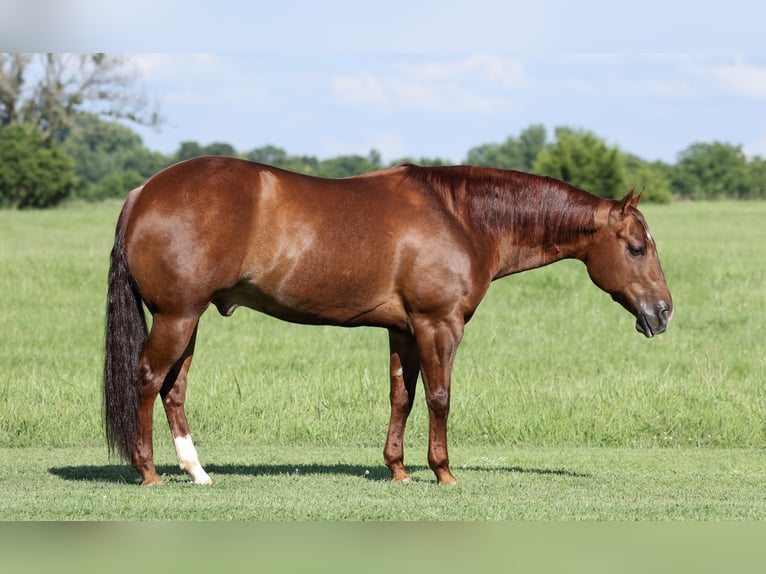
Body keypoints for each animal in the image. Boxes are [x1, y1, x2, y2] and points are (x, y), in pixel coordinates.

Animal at [103, 157, 673, 486]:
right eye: (637, 248)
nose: (664, 311)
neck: (462, 217)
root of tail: (143, 192)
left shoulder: (403, 330)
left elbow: (402, 396)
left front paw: (397, 468)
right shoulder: (439, 325)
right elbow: (440, 397)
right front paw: (443, 472)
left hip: (188, 320)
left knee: (174, 390)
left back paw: (196, 471)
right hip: (177, 317)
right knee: (147, 381)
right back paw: (148, 472)